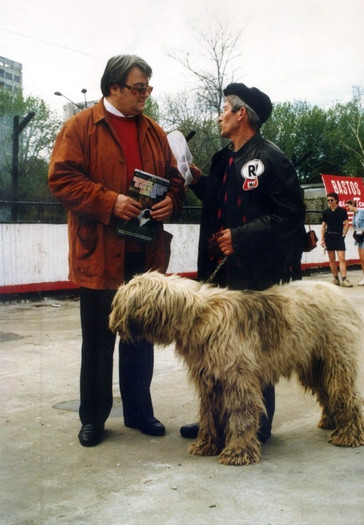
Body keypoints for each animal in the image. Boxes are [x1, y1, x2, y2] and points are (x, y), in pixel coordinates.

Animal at [109, 270, 364, 462]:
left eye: (119, 302)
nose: (111, 324)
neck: (197, 315)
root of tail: (339, 294)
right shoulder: (210, 380)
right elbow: (209, 415)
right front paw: (206, 445)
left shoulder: (237, 379)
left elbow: (241, 416)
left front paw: (237, 452)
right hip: (314, 365)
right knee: (328, 392)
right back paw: (331, 421)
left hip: (335, 361)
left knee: (347, 396)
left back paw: (348, 434)